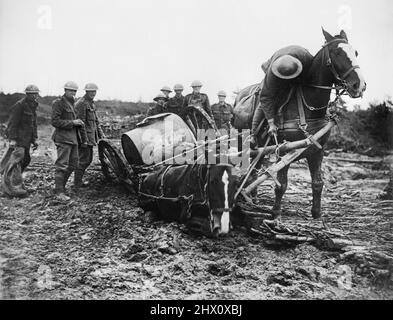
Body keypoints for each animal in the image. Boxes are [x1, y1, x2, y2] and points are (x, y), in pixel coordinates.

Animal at [233, 28, 364, 219]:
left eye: (355, 52)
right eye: (337, 53)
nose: (359, 86)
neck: (307, 105)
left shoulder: (317, 150)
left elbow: (317, 183)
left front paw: (316, 214)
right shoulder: (283, 150)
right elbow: (281, 184)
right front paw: (275, 213)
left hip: (261, 148)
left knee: (254, 169)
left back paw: (252, 197)